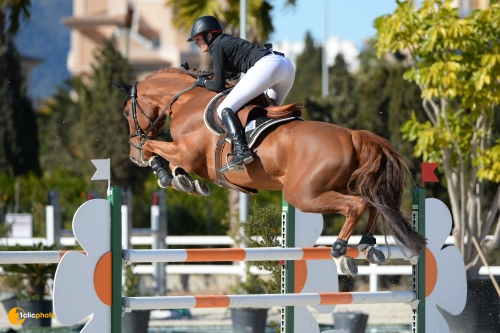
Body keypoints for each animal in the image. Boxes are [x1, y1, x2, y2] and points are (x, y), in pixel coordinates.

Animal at [116, 67, 426, 274]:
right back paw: (368, 244)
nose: (131, 155)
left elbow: (153, 147)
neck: (186, 100)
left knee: (356, 206)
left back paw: (341, 252)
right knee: (372, 204)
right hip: (334, 186)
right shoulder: (190, 158)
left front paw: (162, 172)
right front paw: (185, 181)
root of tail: (352, 135)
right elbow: (174, 163)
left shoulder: (187, 152)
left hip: (302, 194)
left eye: (126, 113)